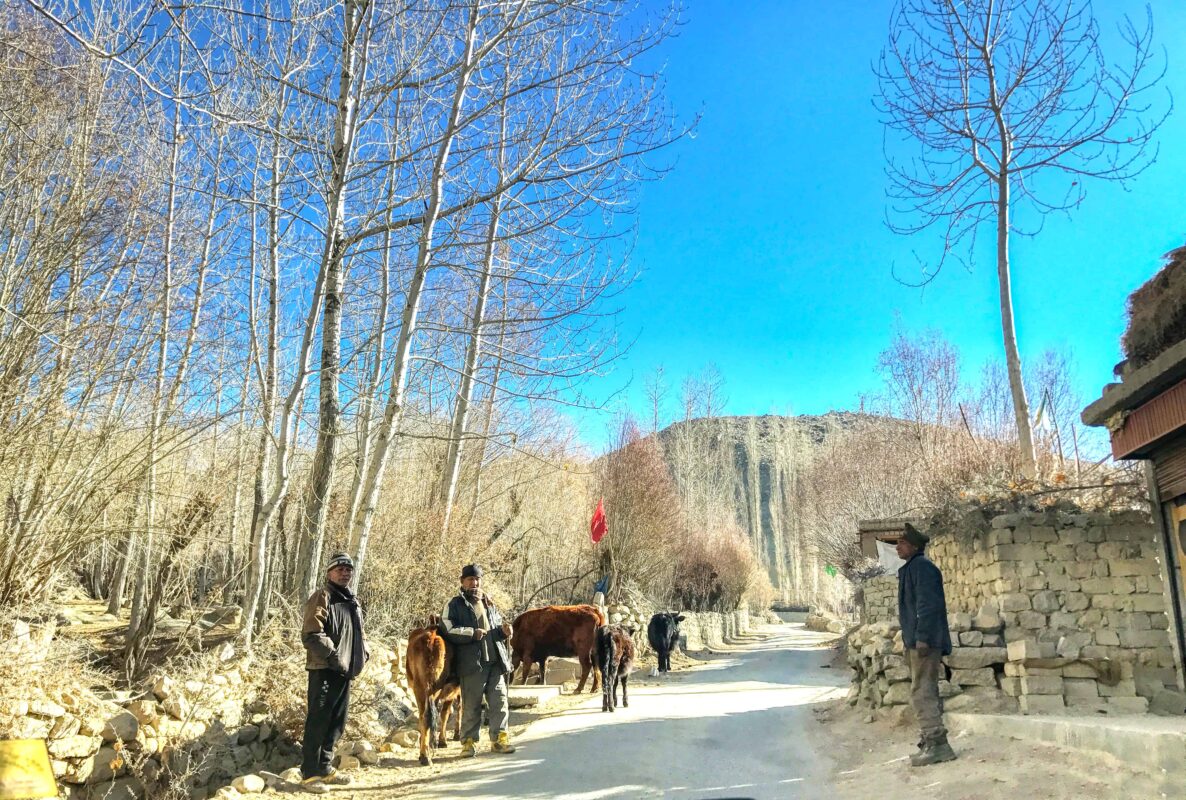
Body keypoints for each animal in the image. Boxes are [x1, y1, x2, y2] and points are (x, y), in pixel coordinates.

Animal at [407, 616, 462, 768]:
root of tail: (431, 635)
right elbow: (448, 712)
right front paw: (448, 738)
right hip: (433, 688)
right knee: (430, 715)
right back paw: (427, 755)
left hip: (419, 687)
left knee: (423, 716)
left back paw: (423, 753)